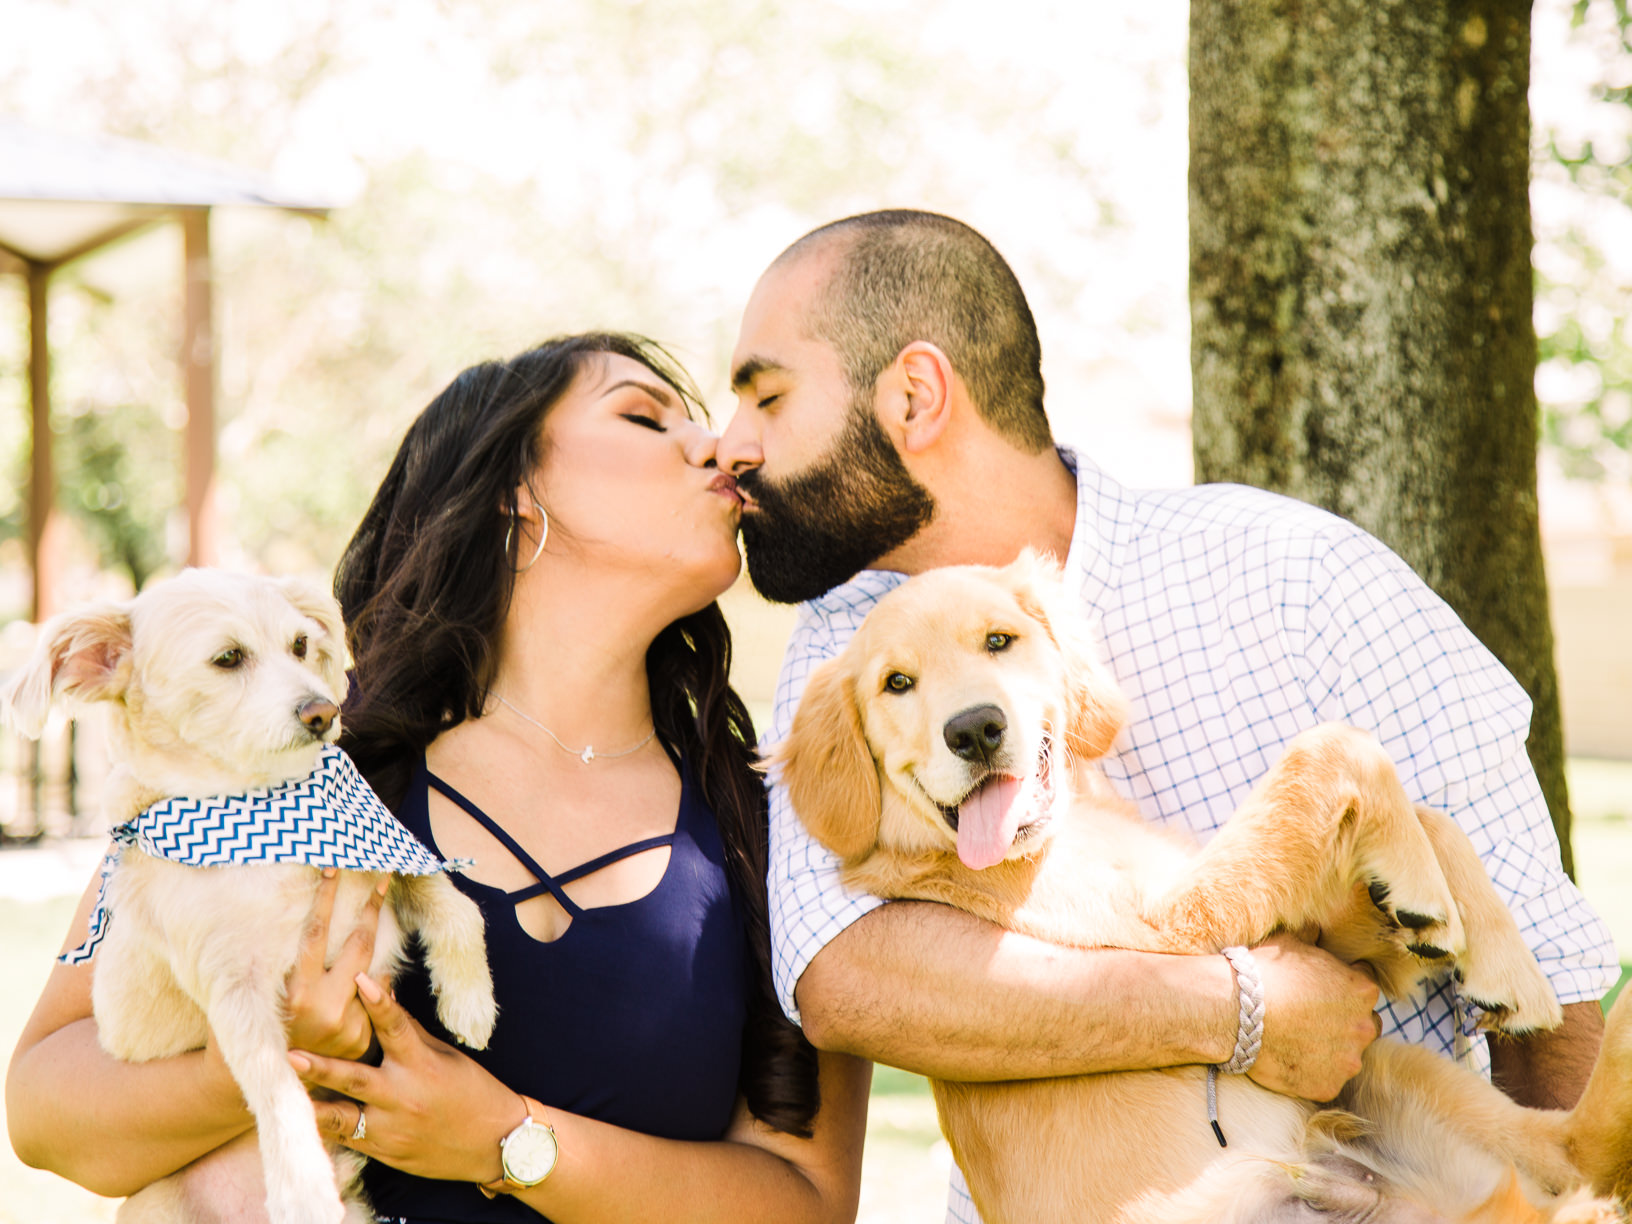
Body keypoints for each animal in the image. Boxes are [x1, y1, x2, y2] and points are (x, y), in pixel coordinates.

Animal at [1, 571, 496, 1224]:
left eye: (301, 645)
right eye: (228, 658)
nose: (323, 711)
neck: (269, 811)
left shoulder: (380, 868)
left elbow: (451, 897)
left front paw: (470, 999)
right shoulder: (236, 991)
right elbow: (277, 1088)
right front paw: (302, 1188)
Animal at [767, 558, 1632, 1224]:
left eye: (998, 641)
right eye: (897, 684)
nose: (975, 729)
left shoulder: (1296, 924)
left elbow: (1429, 819)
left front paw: (1497, 961)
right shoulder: (1176, 923)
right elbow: (1336, 745)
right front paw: (1432, 898)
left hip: (1394, 1072)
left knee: (1573, 1153)